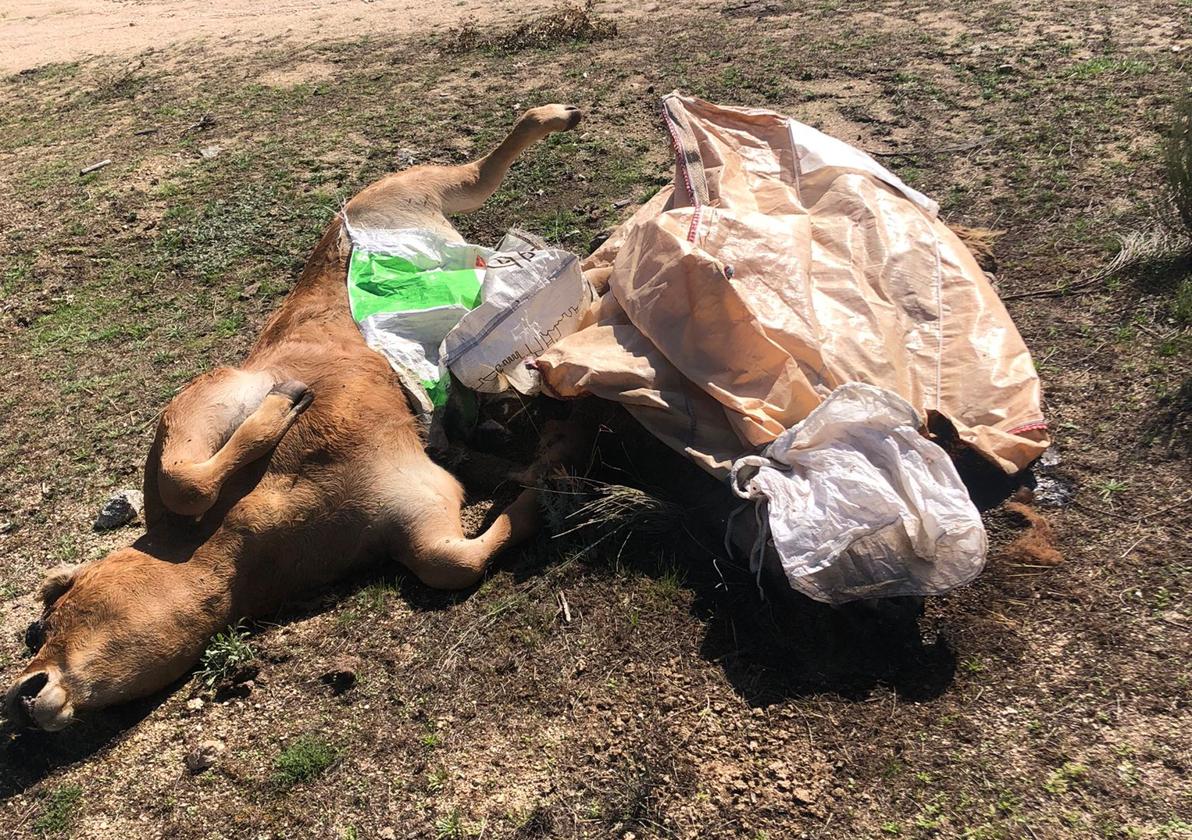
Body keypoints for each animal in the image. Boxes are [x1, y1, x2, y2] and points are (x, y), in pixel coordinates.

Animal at [7, 103, 584, 729]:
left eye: (49, 619)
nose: (22, 693)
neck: (250, 536)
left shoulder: (206, 395)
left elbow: (184, 480)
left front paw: (287, 403)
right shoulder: (418, 506)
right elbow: (455, 553)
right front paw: (548, 467)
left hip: (421, 188)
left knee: (483, 165)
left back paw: (560, 115)